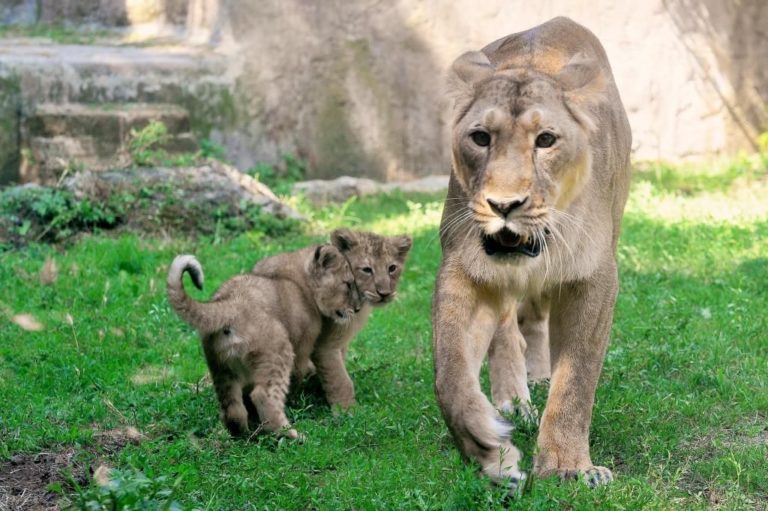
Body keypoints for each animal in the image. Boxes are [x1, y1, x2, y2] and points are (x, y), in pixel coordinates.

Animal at [167, 245, 363, 439]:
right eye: (347, 284)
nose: (357, 309)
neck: (299, 278)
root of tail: (228, 304)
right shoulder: (301, 347)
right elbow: (296, 377)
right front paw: (296, 401)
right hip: (279, 348)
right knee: (263, 396)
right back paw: (291, 435)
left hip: (220, 367)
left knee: (232, 409)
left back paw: (244, 435)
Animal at [432, 17, 631, 490]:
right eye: (480, 138)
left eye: (546, 140)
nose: (504, 205)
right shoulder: (464, 267)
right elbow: (450, 372)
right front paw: (488, 446)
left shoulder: (594, 276)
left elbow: (576, 378)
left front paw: (566, 467)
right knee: (508, 328)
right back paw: (513, 402)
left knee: (535, 318)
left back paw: (537, 379)